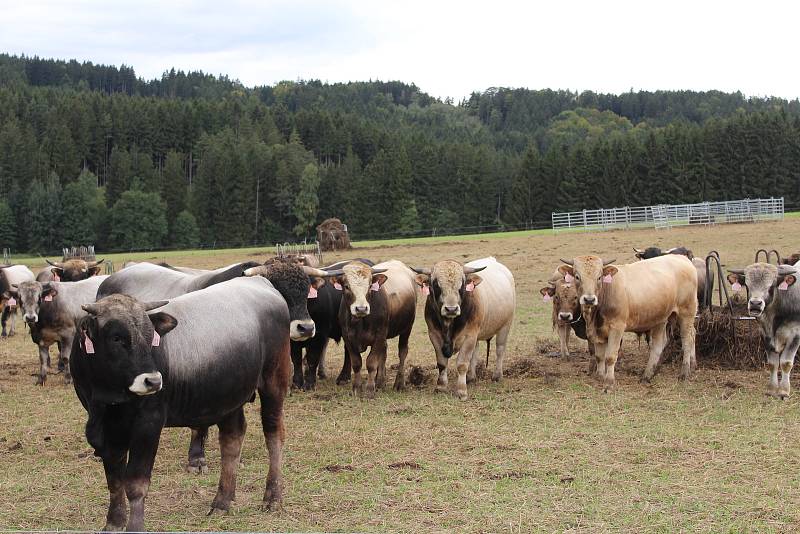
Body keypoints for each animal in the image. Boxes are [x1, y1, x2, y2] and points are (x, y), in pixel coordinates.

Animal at [71, 276, 290, 532]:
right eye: (116, 338)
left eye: (151, 337)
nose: (153, 381)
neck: (105, 400)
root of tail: (260, 281)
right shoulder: (107, 431)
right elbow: (114, 480)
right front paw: (114, 523)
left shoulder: (148, 424)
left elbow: (135, 483)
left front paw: (134, 526)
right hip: (229, 397)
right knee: (232, 440)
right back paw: (222, 500)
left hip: (274, 383)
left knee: (273, 435)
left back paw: (273, 496)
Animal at [332, 262, 416, 400]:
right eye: (347, 286)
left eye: (370, 285)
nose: (361, 309)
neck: (359, 322)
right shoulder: (348, 338)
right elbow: (356, 363)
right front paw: (357, 388)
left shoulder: (379, 335)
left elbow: (371, 363)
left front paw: (369, 390)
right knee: (384, 351)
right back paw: (380, 382)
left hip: (407, 328)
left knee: (402, 352)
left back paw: (399, 383)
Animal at [410, 256, 516, 402]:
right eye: (436, 284)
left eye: (462, 285)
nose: (451, 309)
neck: (449, 323)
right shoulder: (434, 335)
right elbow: (442, 363)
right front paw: (441, 387)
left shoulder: (469, 336)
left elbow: (462, 364)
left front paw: (461, 391)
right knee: (475, 352)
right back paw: (471, 377)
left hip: (505, 326)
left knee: (500, 350)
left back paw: (497, 376)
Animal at [560, 253, 696, 392]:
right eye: (577, 276)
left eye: (599, 277)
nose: (589, 299)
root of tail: (681, 257)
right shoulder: (597, 331)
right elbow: (599, 356)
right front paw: (600, 377)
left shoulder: (617, 328)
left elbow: (610, 357)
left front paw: (609, 383)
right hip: (661, 318)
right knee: (659, 344)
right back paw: (647, 375)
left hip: (687, 312)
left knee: (687, 340)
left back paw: (684, 373)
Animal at [724, 262, 800, 400]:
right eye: (747, 285)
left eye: (771, 285)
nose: (755, 304)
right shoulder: (765, 334)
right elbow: (772, 363)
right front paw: (771, 389)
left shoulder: (795, 334)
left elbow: (786, 363)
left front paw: (784, 391)